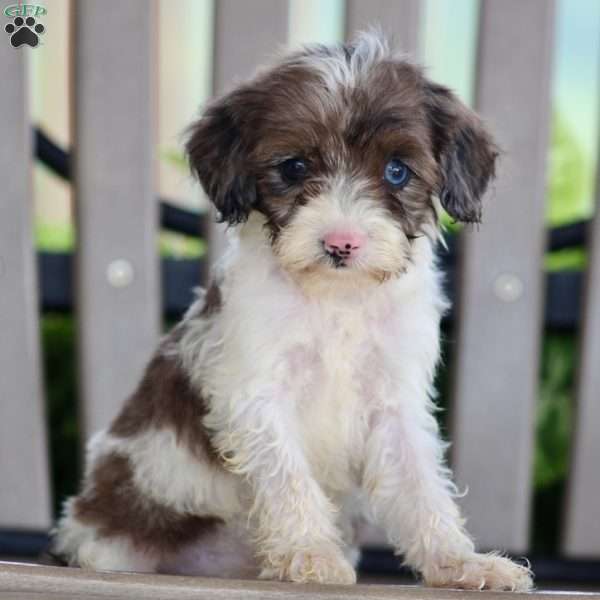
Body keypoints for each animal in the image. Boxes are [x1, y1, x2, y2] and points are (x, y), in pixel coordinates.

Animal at [50, 34, 528, 592]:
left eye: (396, 171)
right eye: (295, 167)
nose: (342, 242)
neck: (336, 297)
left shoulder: (394, 401)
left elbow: (420, 487)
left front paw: (458, 562)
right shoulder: (256, 394)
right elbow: (287, 477)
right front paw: (309, 553)